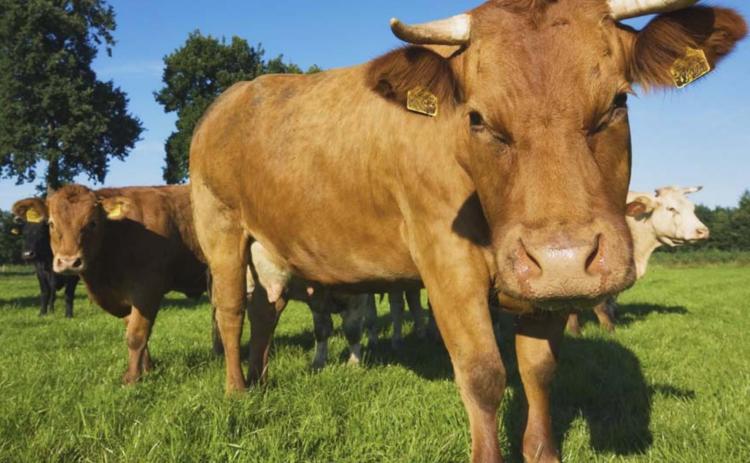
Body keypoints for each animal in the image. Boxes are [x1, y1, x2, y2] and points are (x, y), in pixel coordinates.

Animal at [20, 184, 208, 384]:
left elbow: (136, 335)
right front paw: (147, 370)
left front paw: (132, 378)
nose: (69, 262)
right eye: (51, 224)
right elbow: (132, 329)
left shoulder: (148, 290)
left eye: (92, 223)